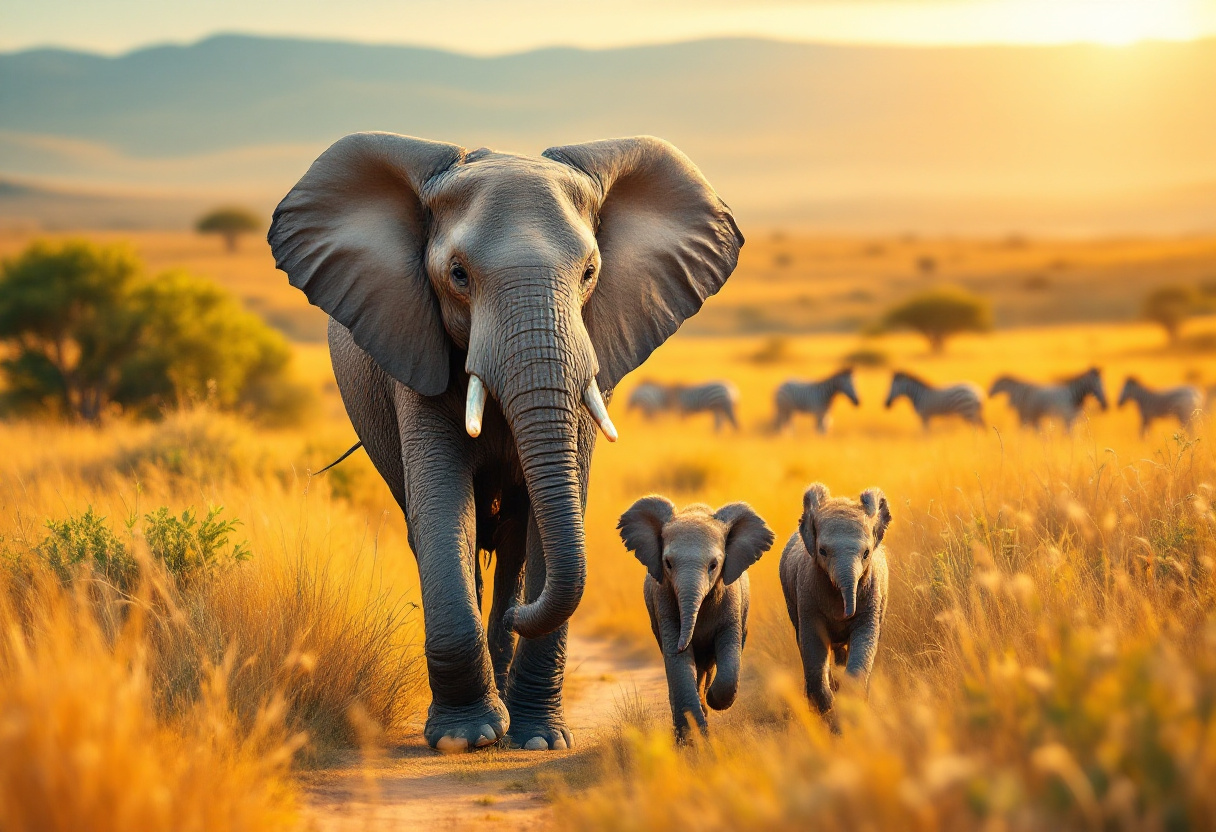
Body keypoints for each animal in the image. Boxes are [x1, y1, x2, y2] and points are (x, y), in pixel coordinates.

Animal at [268, 133, 743, 752]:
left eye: (590, 272)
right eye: (458, 274)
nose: (522, 616)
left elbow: (553, 508)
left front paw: (540, 741)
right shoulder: (413, 351)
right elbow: (444, 506)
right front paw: (463, 738)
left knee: (515, 541)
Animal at [618, 496, 774, 739]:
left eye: (714, 565)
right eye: (668, 563)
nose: (683, 643)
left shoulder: (732, 598)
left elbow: (729, 647)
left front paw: (712, 701)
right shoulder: (663, 598)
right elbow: (678, 664)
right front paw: (692, 739)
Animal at [780, 483, 890, 727]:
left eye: (866, 553)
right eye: (822, 551)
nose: (847, 614)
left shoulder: (873, 594)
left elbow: (865, 639)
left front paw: (849, 709)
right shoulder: (807, 593)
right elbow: (812, 642)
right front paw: (827, 713)